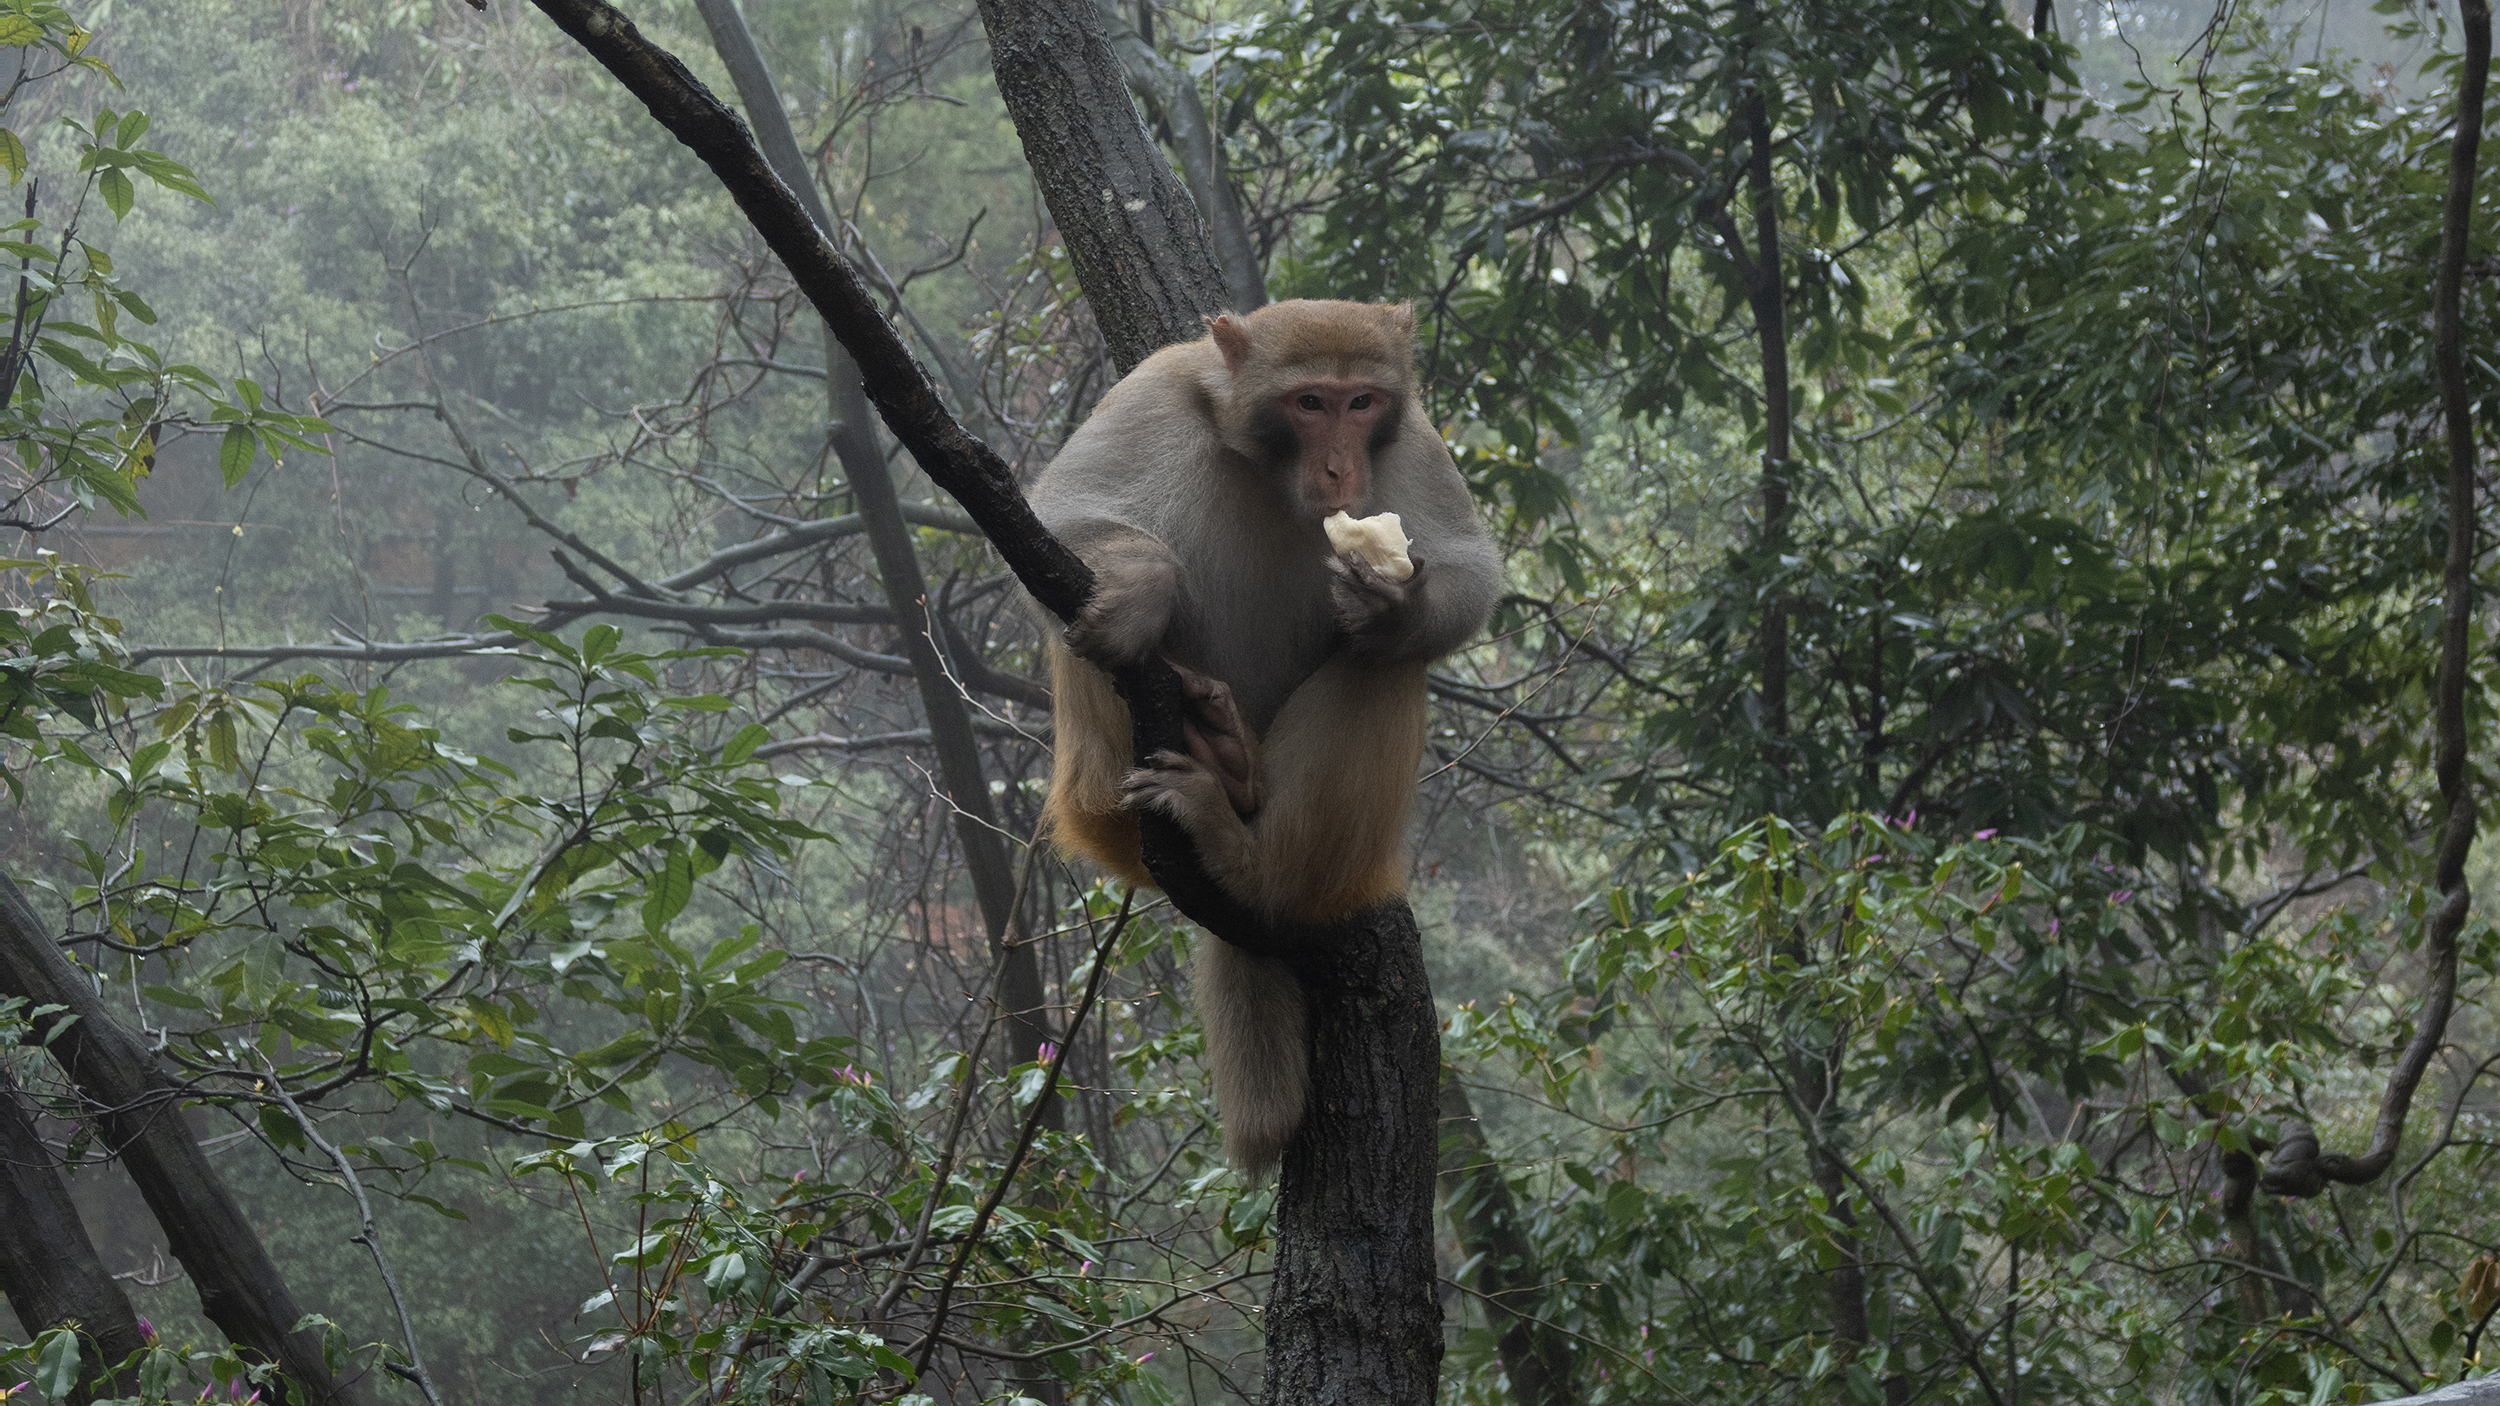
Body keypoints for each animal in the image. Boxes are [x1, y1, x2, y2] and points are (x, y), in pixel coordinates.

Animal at [1027, 299, 1500, 1177]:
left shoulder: (1410, 437)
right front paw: (1142, 585)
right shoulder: (1153, 391)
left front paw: (1394, 606)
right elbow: (1059, 515)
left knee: (1382, 664)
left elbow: (1466, 575)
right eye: (1309, 403)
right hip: (1101, 804)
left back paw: (1248, 831)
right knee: (1092, 622)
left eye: (1362, 403)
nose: (1343, 471)